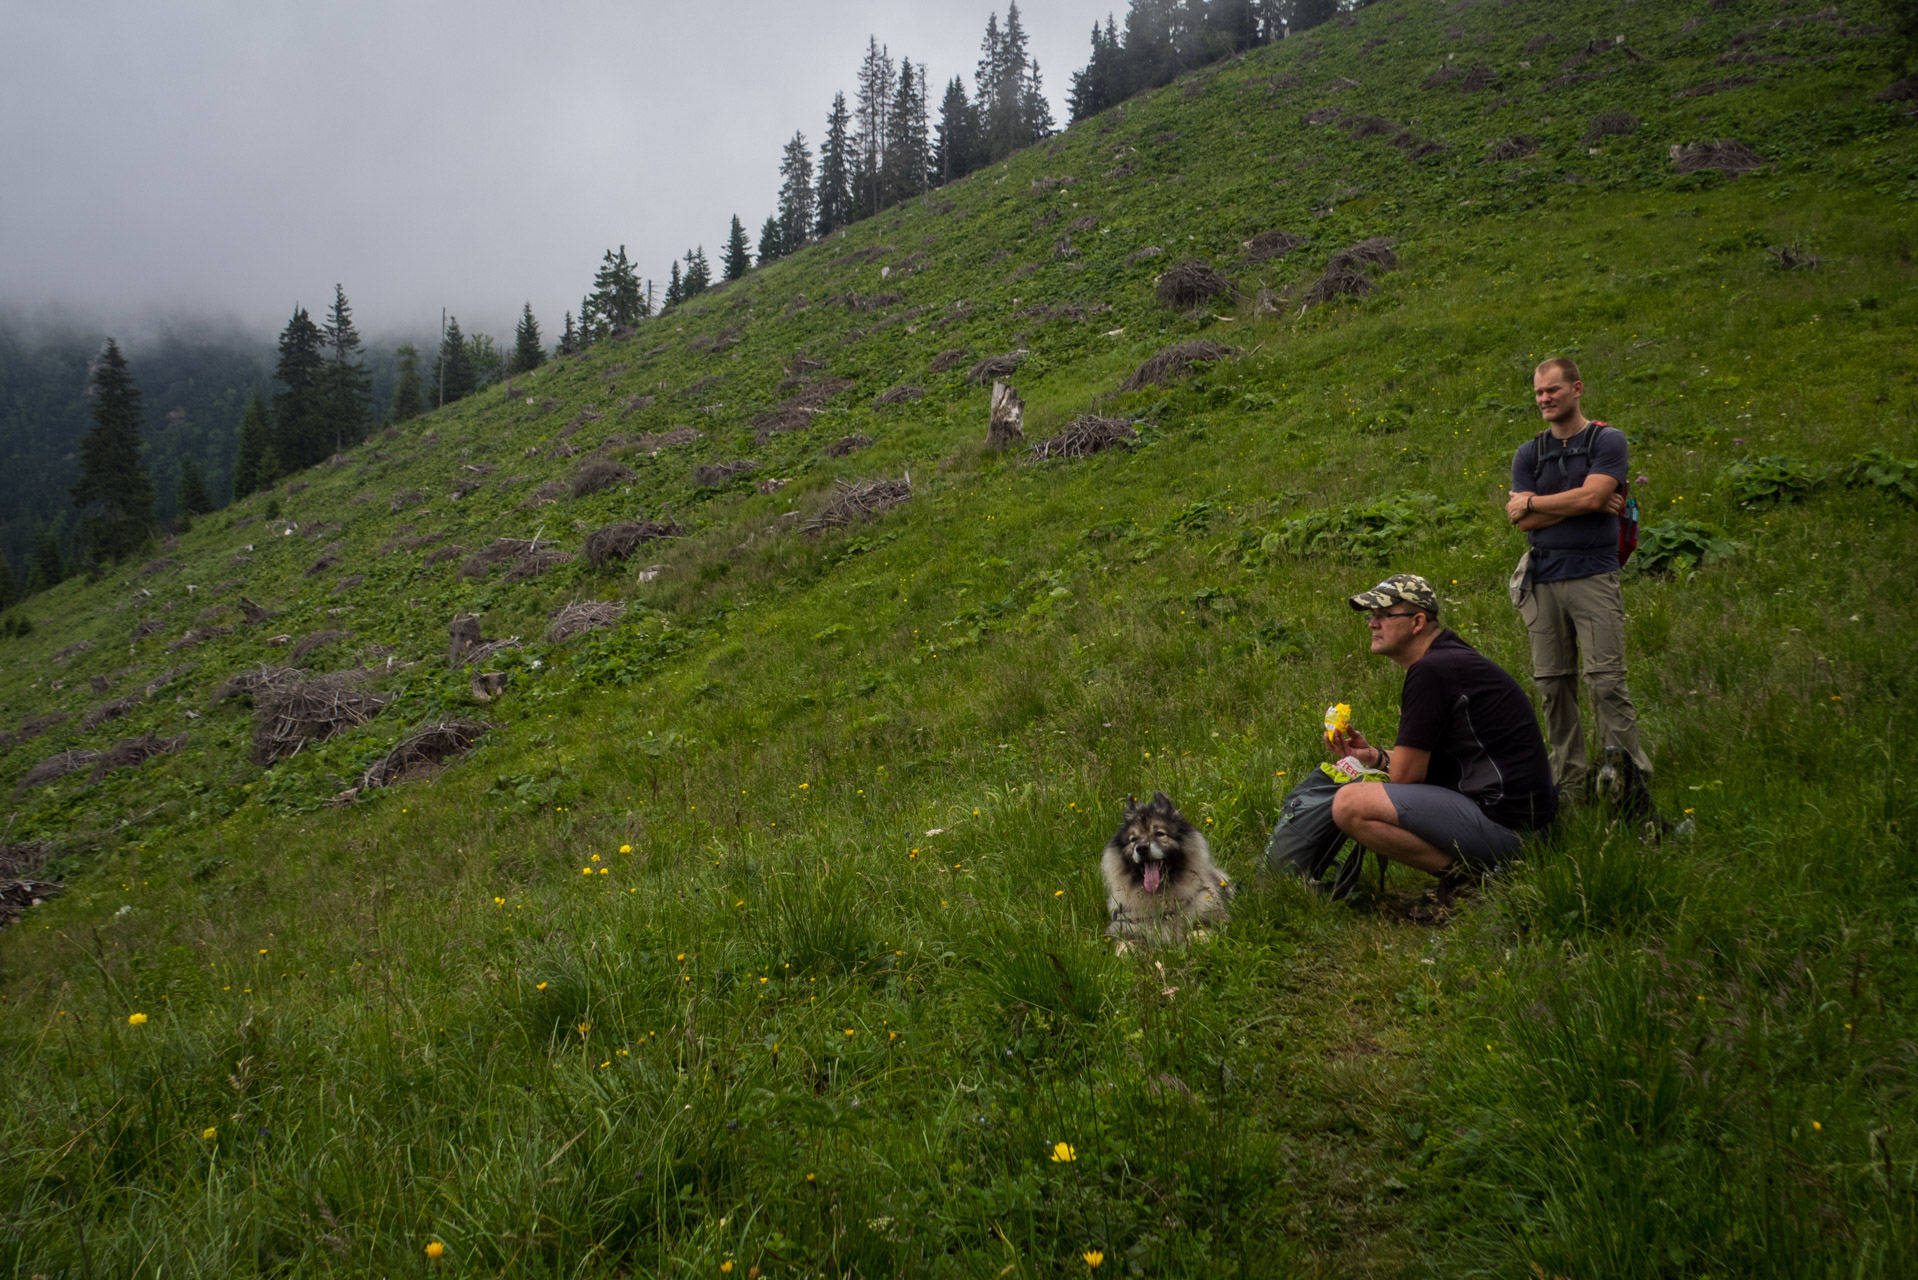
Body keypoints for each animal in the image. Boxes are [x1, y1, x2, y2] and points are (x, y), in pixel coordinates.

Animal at [1104, 790, 1235, 951]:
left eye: (1160, 834)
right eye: (1133, 839)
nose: (1142, 848)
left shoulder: (1211, 920)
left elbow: (1198, 934)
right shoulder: (1124, 928)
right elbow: (1124, 946)